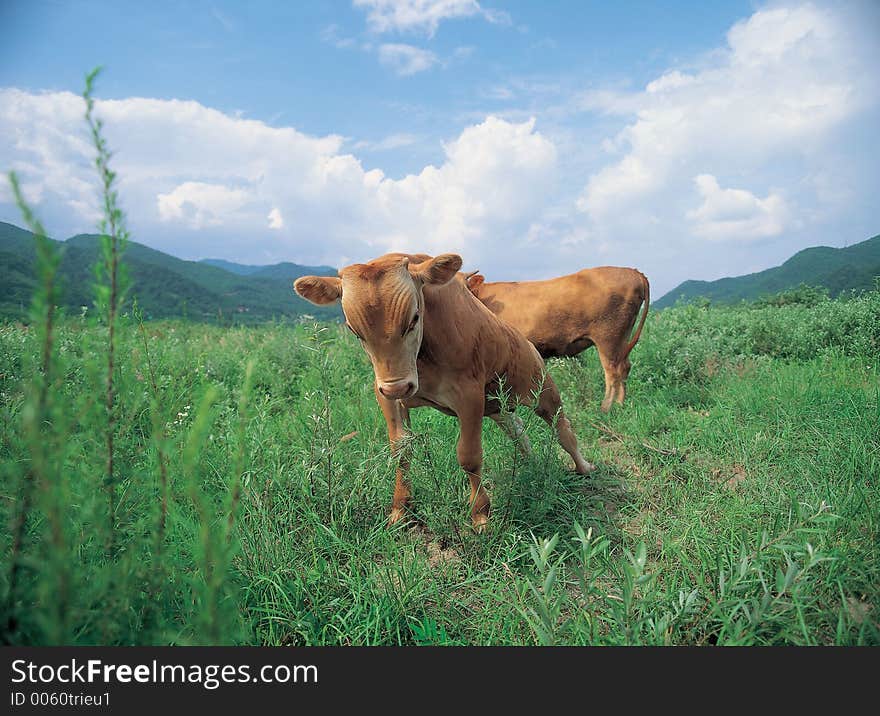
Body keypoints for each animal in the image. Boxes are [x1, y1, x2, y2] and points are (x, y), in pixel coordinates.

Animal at [292, 255, 596, 528]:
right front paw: (400, 509)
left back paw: (583, 467)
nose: (398, 386)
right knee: (519, 431)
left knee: (563, 430)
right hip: (497, 405)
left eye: (413, 319)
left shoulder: (469, 396)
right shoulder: (388, 397)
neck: (423, 360)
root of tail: (527, 342)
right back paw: (530, 463)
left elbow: (469, 457)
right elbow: (401, 450)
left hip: (543, 390)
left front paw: (480, 515)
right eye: (355, 330)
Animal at [464, 268, 648, 414]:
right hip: (621, 340)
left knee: (613, 372)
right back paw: (620, 406)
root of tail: (634, 272)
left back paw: (606, 409)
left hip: (608, 338)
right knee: (624, 367)